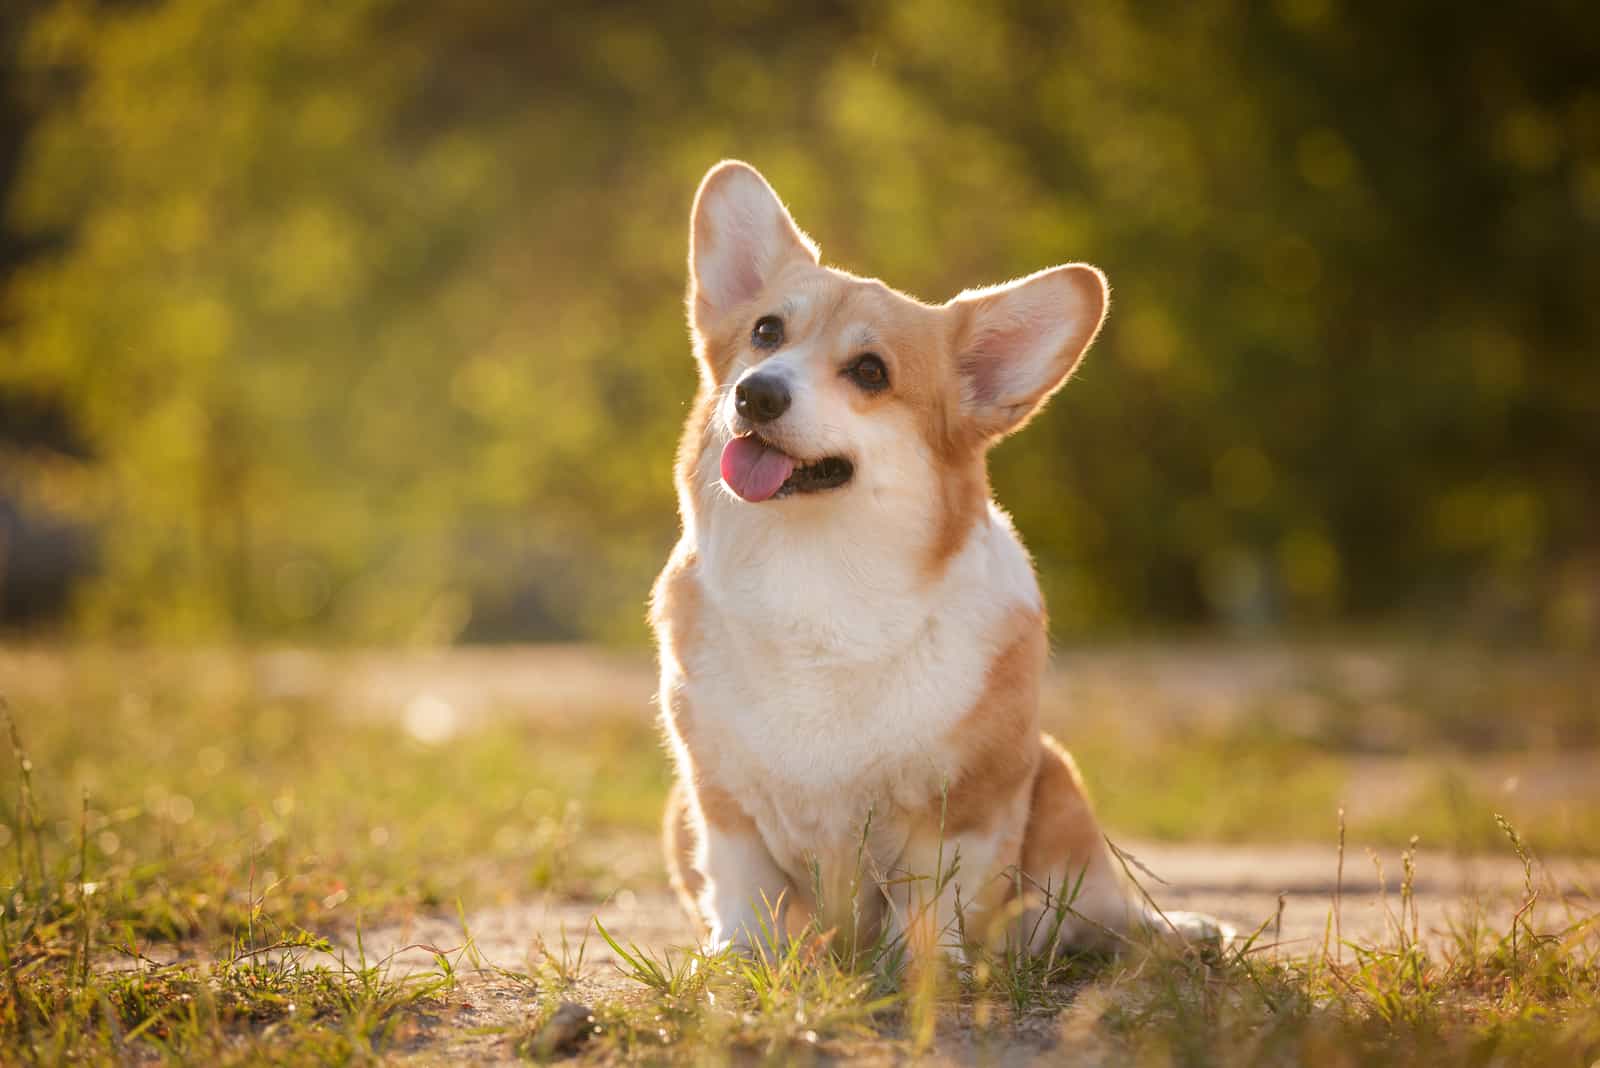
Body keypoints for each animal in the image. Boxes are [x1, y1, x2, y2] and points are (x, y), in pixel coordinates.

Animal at [649, 158, 1222, 959]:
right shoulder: (718, 796)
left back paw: (1181, 931)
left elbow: (933, 896)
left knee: (1102, 907)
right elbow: (745, 888)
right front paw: (738, 959)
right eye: (766, 332)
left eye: (870, 372)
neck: (817, 580)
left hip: (1058, 781)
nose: (755, 394)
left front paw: (924, 969)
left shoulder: (969, 806)